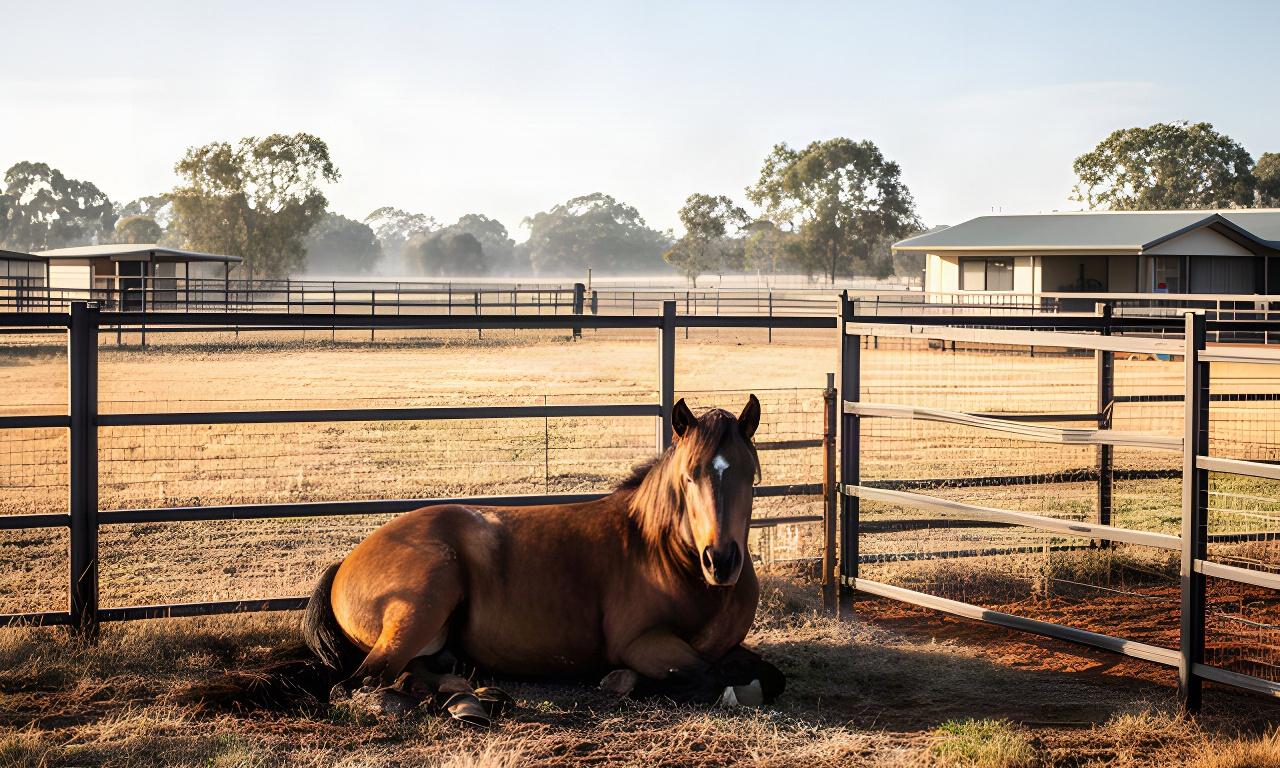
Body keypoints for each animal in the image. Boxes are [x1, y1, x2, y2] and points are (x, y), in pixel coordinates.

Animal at [231, 395, 783, 725]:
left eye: (750, 475)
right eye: (689, 477)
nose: (721, 561)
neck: (662, 552)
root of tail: (345, 561)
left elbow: (763, 673)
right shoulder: (643, 644)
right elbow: (711, 676)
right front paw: (623, 681)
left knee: (413, 673)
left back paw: (473, 697)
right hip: (424, 600)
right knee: (361, 685)